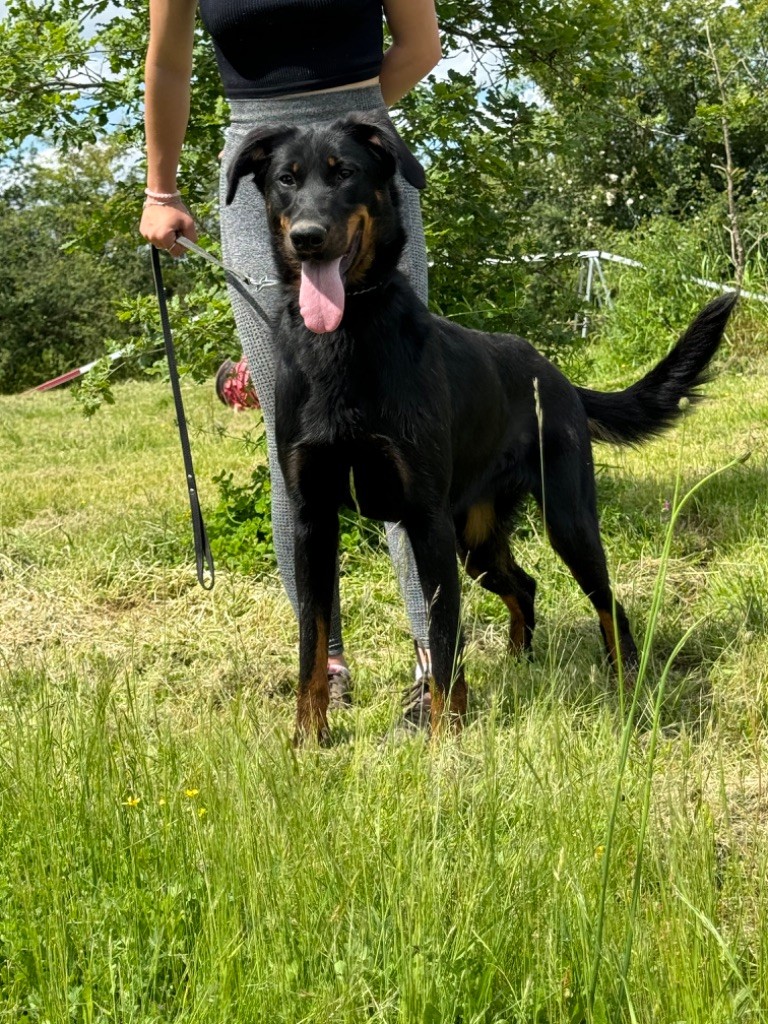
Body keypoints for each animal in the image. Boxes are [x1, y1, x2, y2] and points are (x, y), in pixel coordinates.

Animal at [226, 111, 737, 744]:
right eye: (286, 180)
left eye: (344, 174)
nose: (308, 237)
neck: (346, 340)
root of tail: (557, 377)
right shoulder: (312, 522)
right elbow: (311, 646)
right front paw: (308, 739)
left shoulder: (425, 523)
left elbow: (445, 641)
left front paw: (444, 740)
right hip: (476, 540)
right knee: (526, 586)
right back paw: (521, 663)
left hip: (565, 522)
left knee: (608, 604)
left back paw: (626, 681)